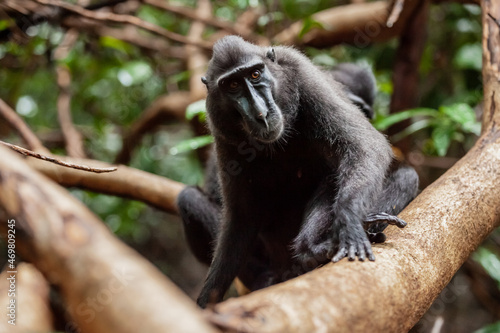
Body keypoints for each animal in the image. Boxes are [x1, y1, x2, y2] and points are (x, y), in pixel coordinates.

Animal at [176, 35, 418, 306]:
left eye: (256, 74)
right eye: (233, 85)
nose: (260, 113)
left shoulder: (305, 76)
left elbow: (364, 146)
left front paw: (351, 223)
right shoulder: (219, 123)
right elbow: (241, 216)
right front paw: (207, 300)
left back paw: (314, 248)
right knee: (189, 198)